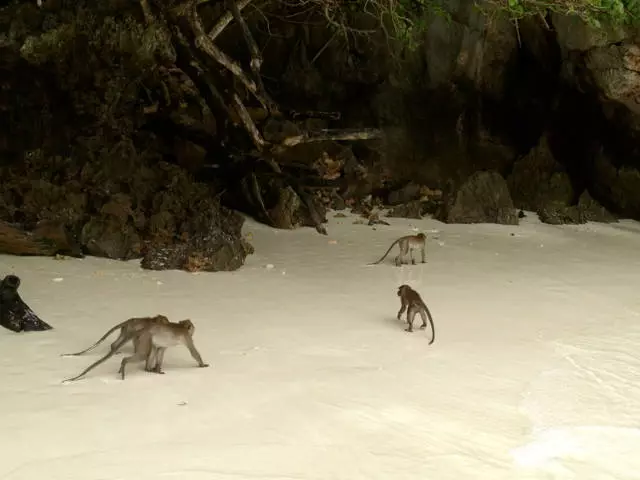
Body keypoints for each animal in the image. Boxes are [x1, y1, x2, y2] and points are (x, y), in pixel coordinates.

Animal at [62, 318, 209, 382]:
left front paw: (157, 369)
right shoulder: (187, 337)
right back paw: (124, 364)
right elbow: (193, 352)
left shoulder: (164, 345)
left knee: (151, 350)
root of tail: (144, 328)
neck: (181, 327)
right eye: (192, 327)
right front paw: (202, 365)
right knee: (143, 354)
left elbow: (160, 351)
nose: (194, 329)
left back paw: (147, 369)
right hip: (144, 338)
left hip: (144, 337)